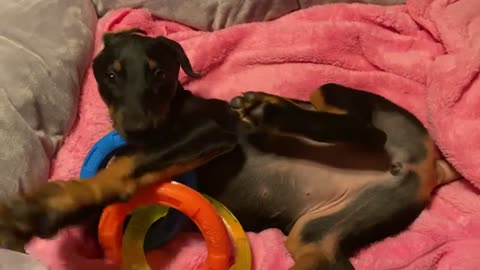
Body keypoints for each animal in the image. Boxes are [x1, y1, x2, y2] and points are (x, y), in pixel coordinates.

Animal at [0, 28, 460, 268]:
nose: (136, 129)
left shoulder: (211, 134)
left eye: (160, 73)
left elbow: (128, 168)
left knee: (365, 131)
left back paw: (268, 110)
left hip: (341, 98)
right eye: (111, 76)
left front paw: (41, 208)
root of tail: (429, 168)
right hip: (318, 235)